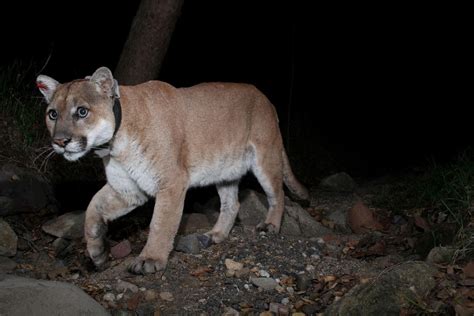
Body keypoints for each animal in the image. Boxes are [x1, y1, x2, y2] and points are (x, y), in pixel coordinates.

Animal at [38, 67, 312, 274]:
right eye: (52, 114)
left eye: (82, 111)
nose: (60, 141)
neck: (115, 145)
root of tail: (266, 99)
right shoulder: (127, 188)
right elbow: (92, 208)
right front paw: (97, 253)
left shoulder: (171, 181)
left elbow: (160, 222)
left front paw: (150, 260)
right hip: (224, 170)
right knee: (231, 204)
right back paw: (215, 235)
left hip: (265, 156)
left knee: (278, 194)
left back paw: (270, 226)